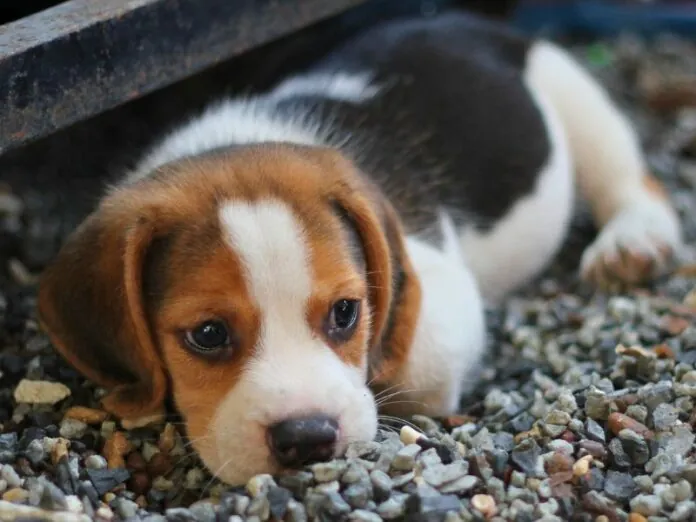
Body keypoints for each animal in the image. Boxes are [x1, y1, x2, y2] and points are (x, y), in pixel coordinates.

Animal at [36, 12, 680, 484]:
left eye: (346, 313)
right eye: (208, 335)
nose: (307, 438)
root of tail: (460, 20)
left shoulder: (441, 291)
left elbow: (410, 362)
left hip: (571, 93)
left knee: (628, 177)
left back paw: (634, 242)